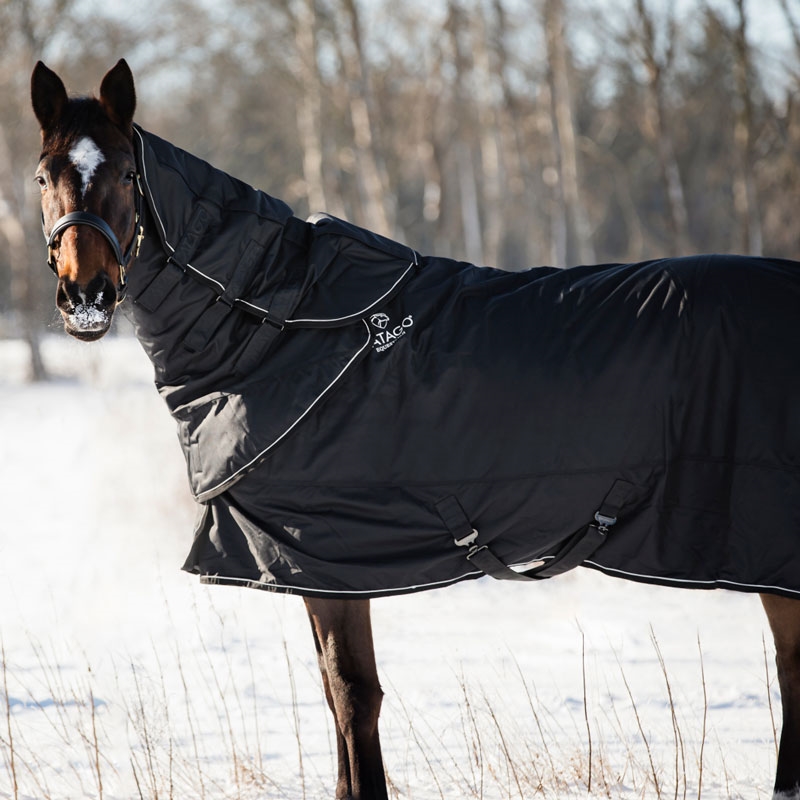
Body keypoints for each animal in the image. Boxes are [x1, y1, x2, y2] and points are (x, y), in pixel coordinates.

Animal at [32, 57, 800, 800]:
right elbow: (334, 696)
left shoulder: (329, 558)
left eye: (126, 173)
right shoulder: (307, 564)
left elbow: (353, 697)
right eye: (44, 176)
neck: (283, 322)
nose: (86, 296)